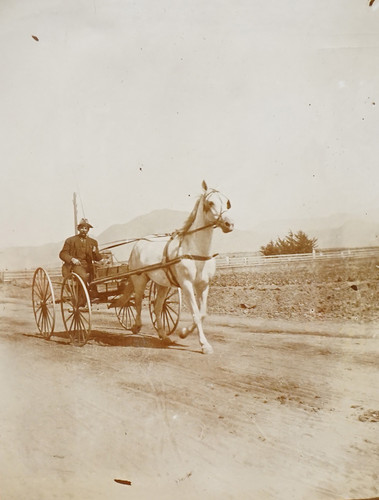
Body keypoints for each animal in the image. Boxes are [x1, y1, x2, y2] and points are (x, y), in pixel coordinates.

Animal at [114, 182, 233, 354]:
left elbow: (202, 314)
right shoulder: (186, 285)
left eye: (227, 202)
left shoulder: (204, 285)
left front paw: (184, 333)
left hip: (162, 284)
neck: (195, 251)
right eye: (210, 203)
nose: (229, 224)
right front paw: (203, 344)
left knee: (157, 307)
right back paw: (136, 326)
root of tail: (139, 243)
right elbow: (196, 314)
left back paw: (163, 336)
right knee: (137, 303)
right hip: (140, 279)